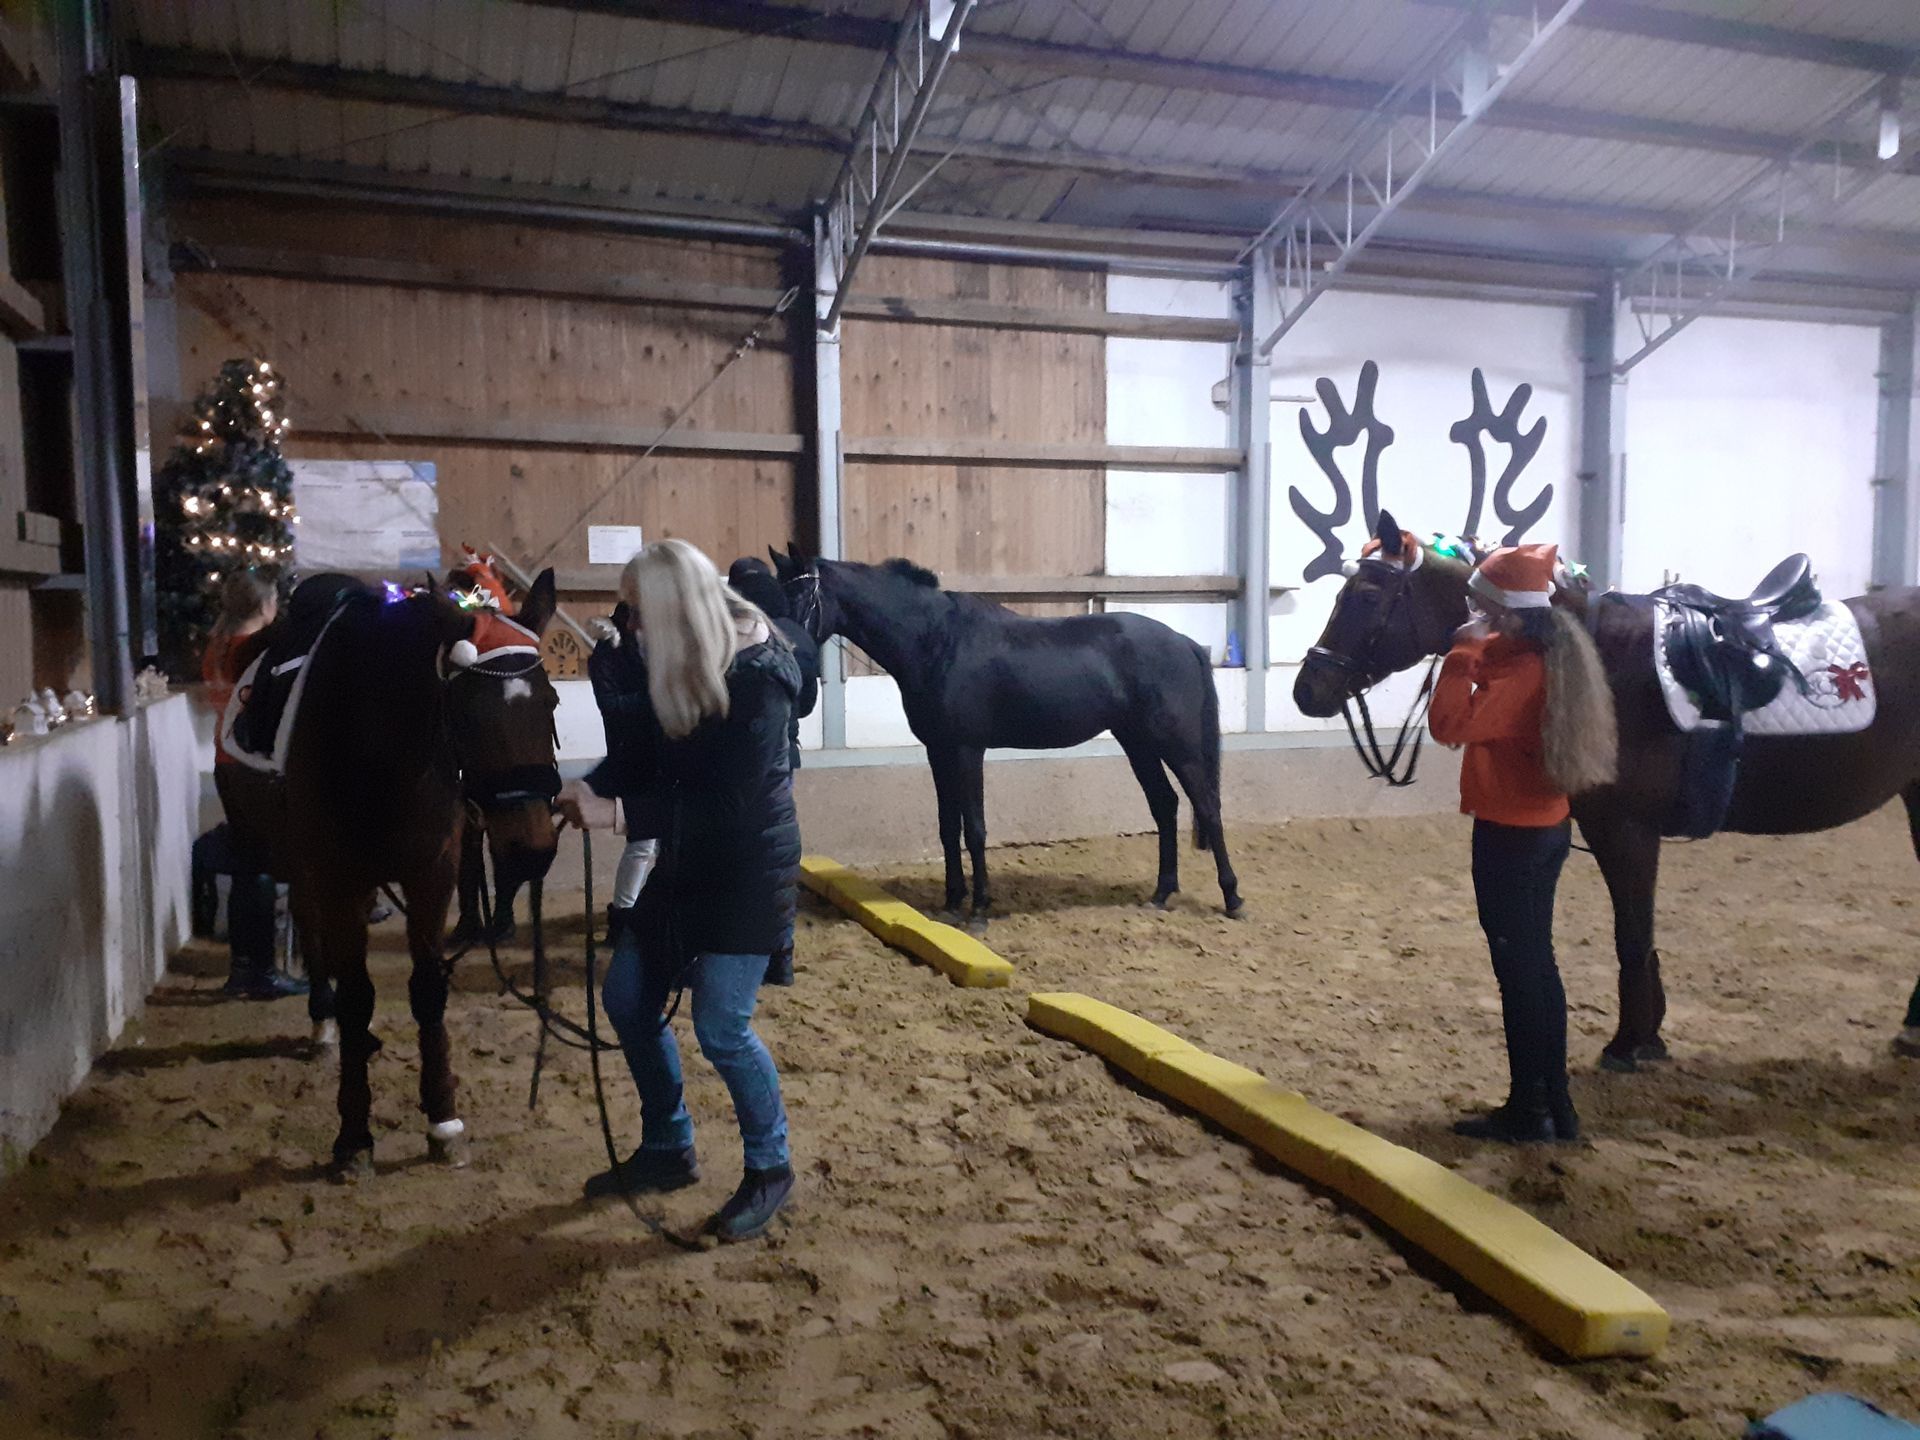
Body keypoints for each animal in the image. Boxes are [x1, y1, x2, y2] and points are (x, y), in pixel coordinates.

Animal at [225, 570, 564, 1176]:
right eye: (466, 712)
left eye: (549, 700)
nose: (530, 850)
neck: (376, 744)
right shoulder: (340, 879)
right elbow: (358, 995)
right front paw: (354, 1134)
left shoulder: (432, 875)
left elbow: (428, 990)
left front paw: (444, 1122)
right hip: (299, 863)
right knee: (311, 933)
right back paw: (324, 1023)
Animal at [774, 547, 1240, 918]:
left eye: (800, 596)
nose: (787, 655)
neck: (937, 642)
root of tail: (1185, 643)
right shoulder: (938, 751)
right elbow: (948, 827)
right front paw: (952, 903)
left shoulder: (967, 750)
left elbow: (975, 828)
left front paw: (979, 908)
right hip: (1138, 743)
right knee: (1165, 806)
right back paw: (1161, 893)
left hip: (1177, 745)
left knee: (1208, 807)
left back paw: (1232, 899)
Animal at [1294, 510, 1920, 1066]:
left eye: (1367, 594)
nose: (1308, 686)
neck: (1600, 661)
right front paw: (1649, 1034)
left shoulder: (1626, 830)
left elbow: (1632, 936)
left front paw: (1632, 1044)